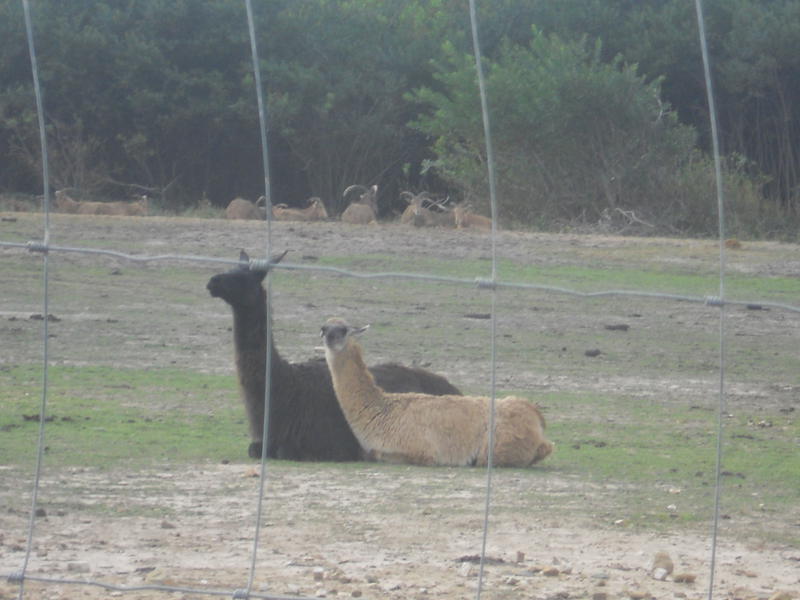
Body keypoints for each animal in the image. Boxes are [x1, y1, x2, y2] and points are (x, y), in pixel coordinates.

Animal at [205, 251, 462, 462]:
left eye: (247, 276)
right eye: (231, 268)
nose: (212, 282)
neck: (284, 389)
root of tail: (453, 388)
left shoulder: (330, 444)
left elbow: (283, 451)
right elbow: (254, 449)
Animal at [322, 316, 552, 466]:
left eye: (343, 330)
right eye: (324, 328)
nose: (329, 337)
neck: (383, 410)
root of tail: (534, 414)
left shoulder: (420, 450)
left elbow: (377, 455)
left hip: (497, 447)